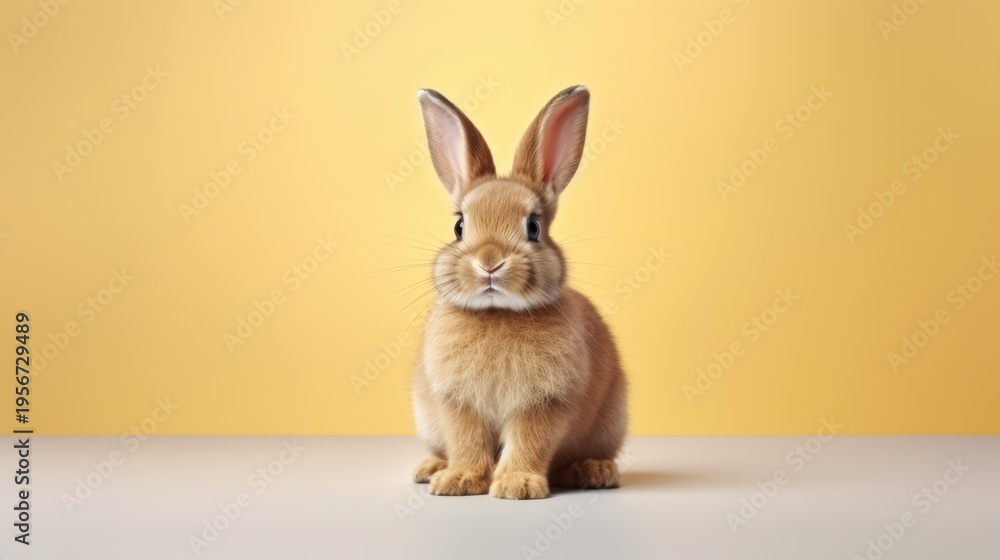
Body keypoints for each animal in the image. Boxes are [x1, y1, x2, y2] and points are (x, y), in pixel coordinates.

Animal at [409, 85, 628, 499]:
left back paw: (594, 471)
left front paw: (517, 486)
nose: (490, 262)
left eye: (533, 227)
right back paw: (430, 469)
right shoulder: (456, 402)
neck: (498, 313)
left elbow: (530, 442)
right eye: (459, 226)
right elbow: (465, 440)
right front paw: (460, 481)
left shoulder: (544, 402)